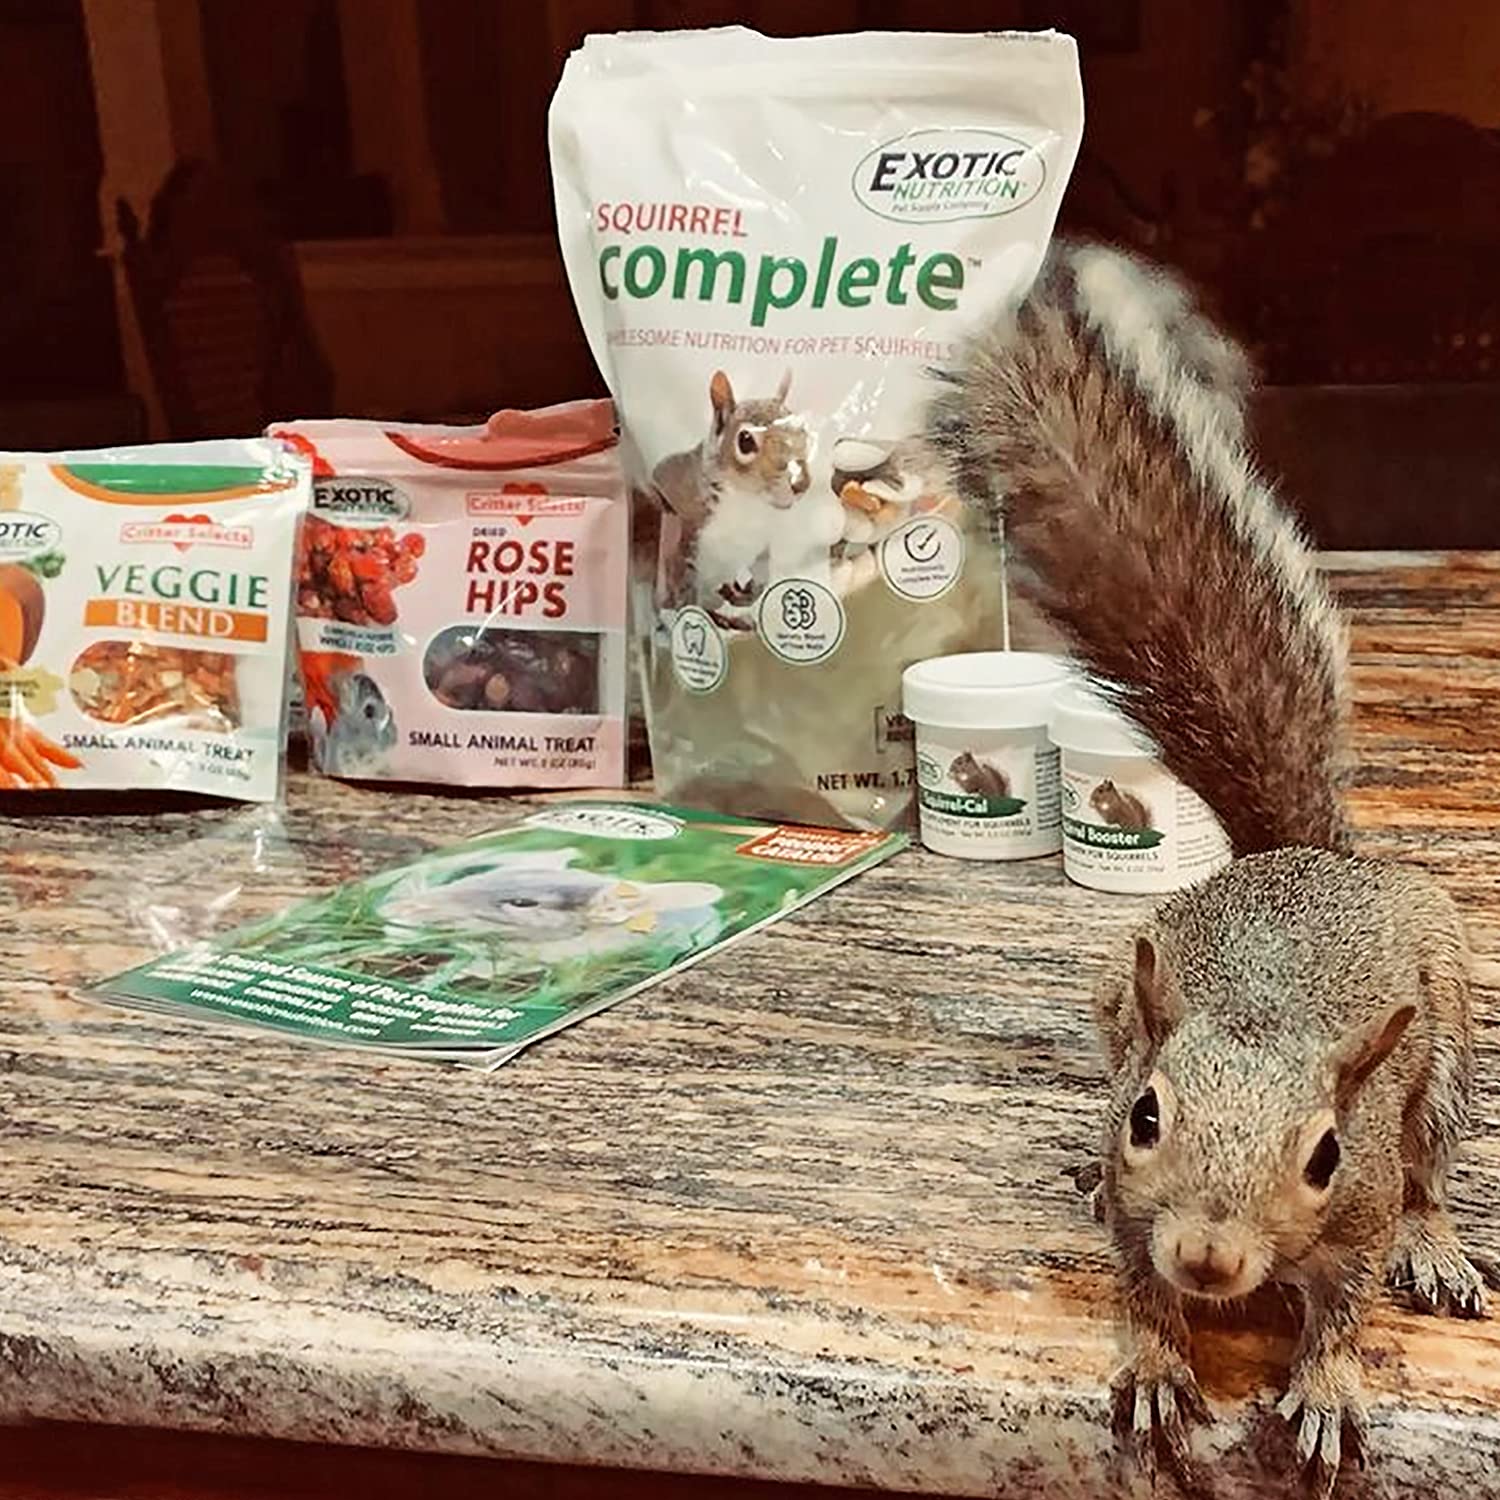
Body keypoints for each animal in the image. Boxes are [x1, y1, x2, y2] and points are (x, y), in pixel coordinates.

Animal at [929, 240, 1495, 1497]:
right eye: (1144, 1117)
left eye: (1326, 1154)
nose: (1207, 1254)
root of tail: (1302, 851)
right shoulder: (1137, 1206)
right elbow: (1136, 1290)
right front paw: (1153, 1360)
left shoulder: (1357, 1208)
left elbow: (1346, 1308)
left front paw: (1326, 1390)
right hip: (1114, 988)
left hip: (1447, 1048)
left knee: (1432, 1165)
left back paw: (1438, 1246)